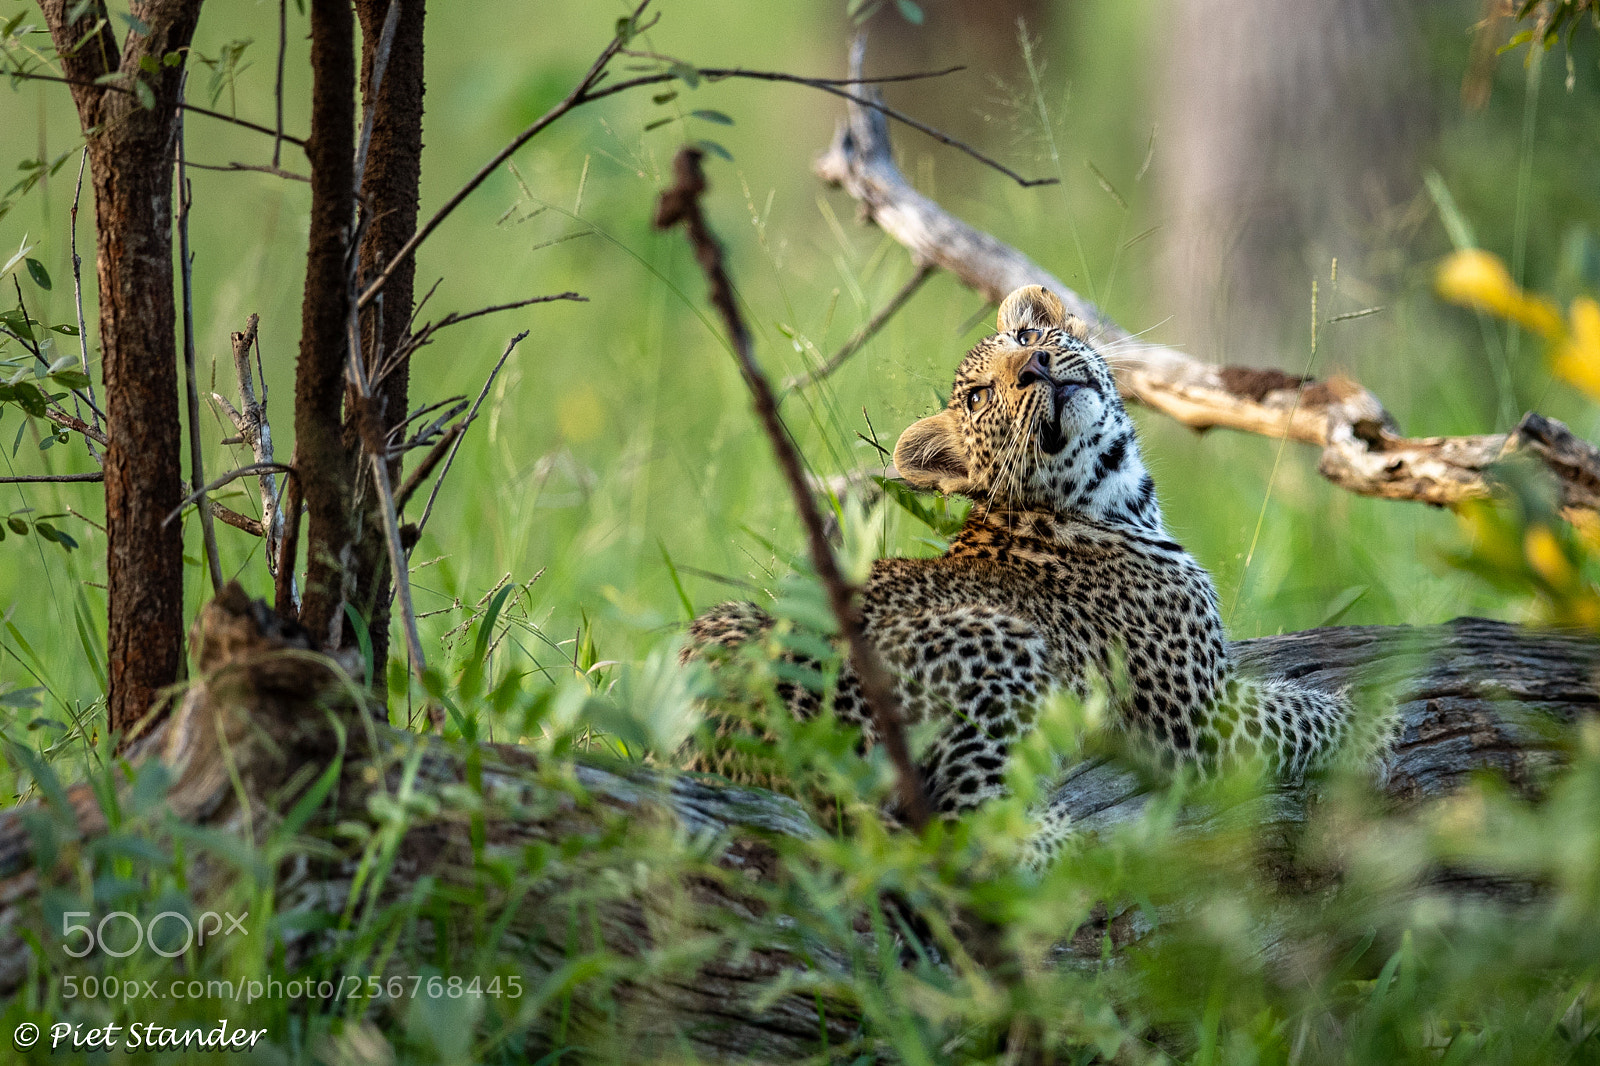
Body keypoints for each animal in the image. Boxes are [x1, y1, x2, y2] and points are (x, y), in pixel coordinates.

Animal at [684, 285, 1393, 854]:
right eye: (979, 396)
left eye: (1027, 338)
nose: (1034, 366)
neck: (1115, 493)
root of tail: (765, 747)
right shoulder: (1195, 714)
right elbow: (1297, 716)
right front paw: (1376, 727)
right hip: (995, 639)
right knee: (963, 832)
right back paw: (1068, 843)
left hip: (718, 625)